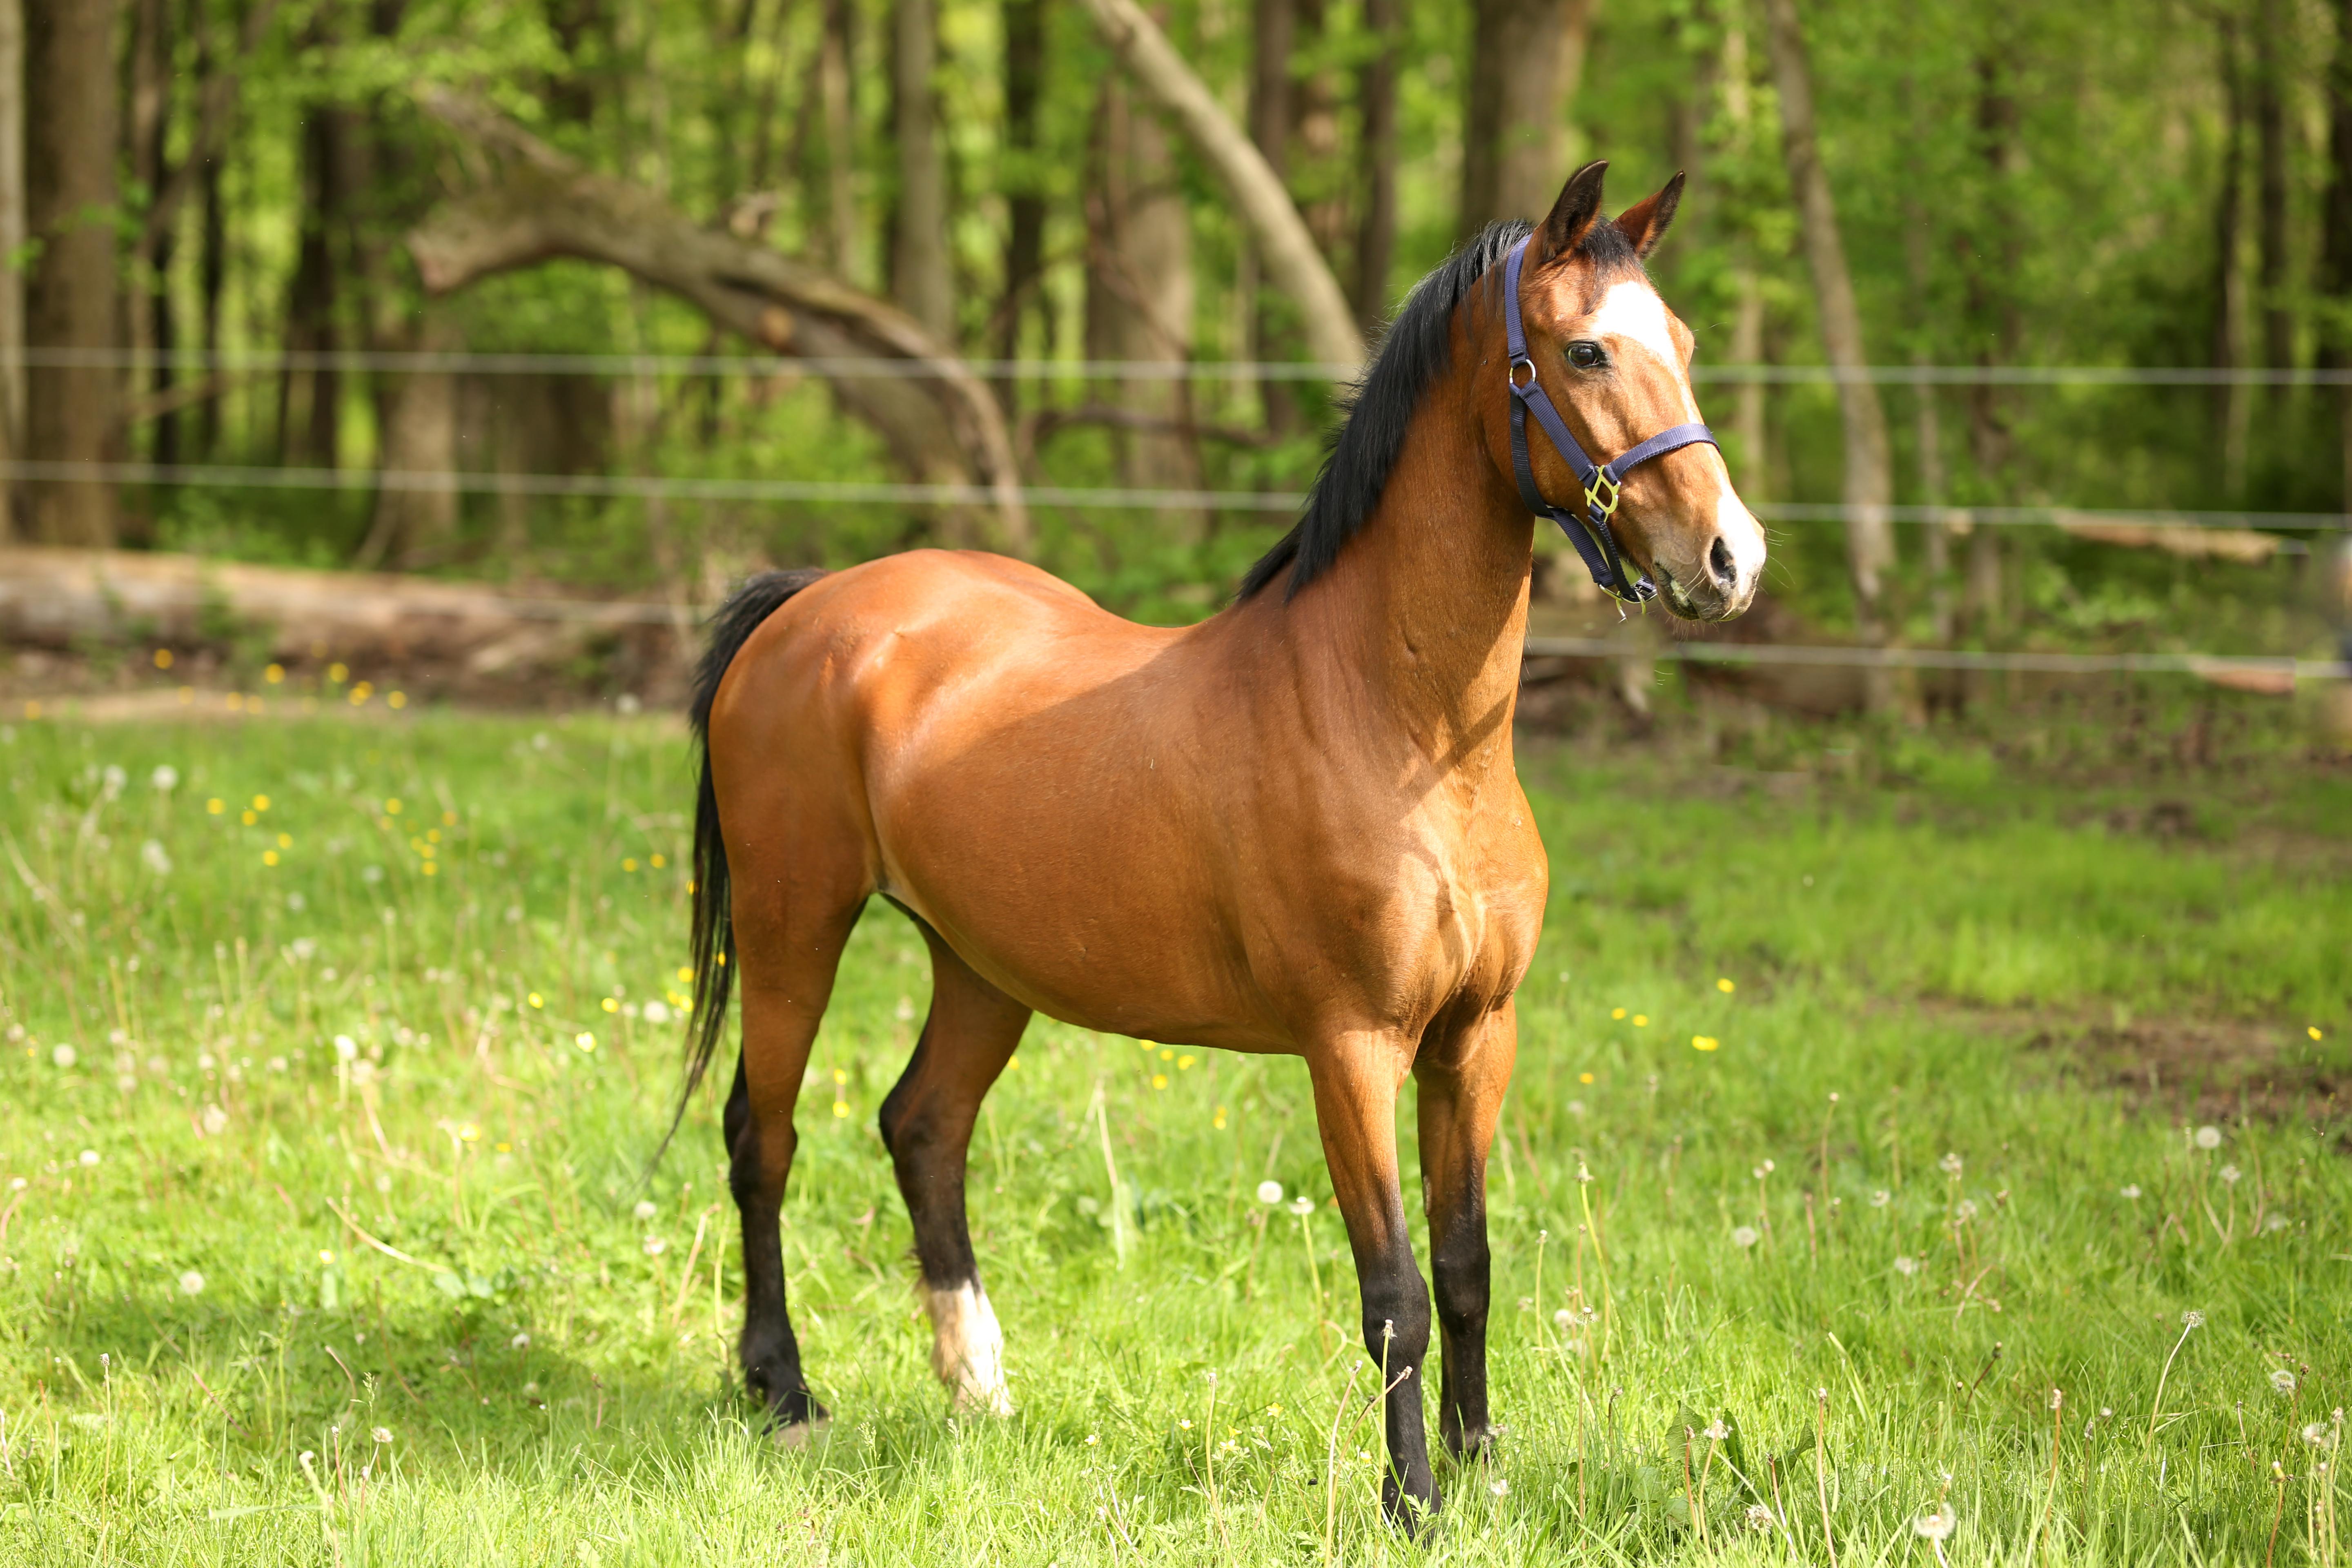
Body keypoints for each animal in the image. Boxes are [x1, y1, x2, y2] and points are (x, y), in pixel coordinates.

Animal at [676, 158, 1764, 1522]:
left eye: (1684, 344)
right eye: (1584, 351)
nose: (1731, 558)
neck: (1401, 727)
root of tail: (808, 604)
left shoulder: (1477, 1039)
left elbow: (1467, 1264)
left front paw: (1481, 1467)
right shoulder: (1351, 1049)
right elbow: (1397, 1292)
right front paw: (1413, 1500)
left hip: (980, 964)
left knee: (922, 1126)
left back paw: (978, 1387)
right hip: (794, 929)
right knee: (760, 1139)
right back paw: (786, 1391)